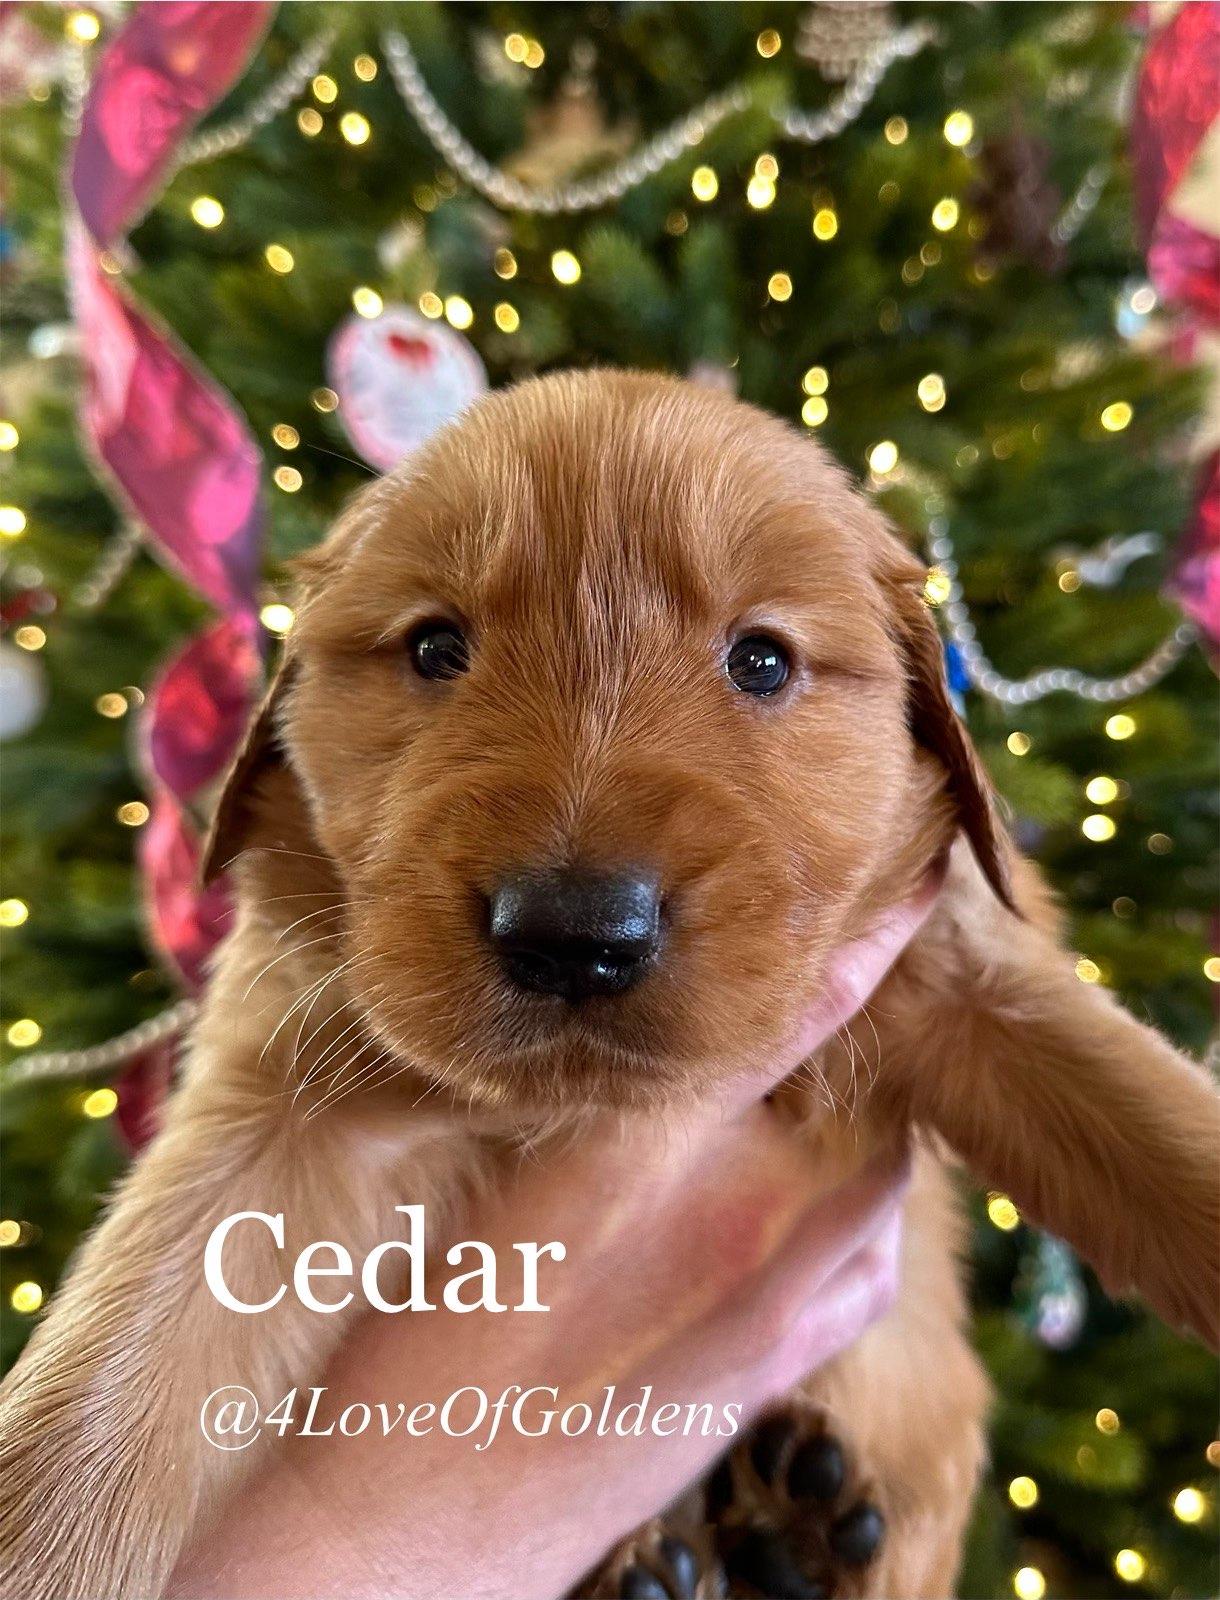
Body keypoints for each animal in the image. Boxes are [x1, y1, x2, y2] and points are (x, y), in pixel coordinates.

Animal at [1, 370, 1216, 1599]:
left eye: (761, 660)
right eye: (435, 648)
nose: (575, 935)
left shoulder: (968, 973)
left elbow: (1160, 1134)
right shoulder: (289, 1098)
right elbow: (112, 1380)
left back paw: (790, 1533)